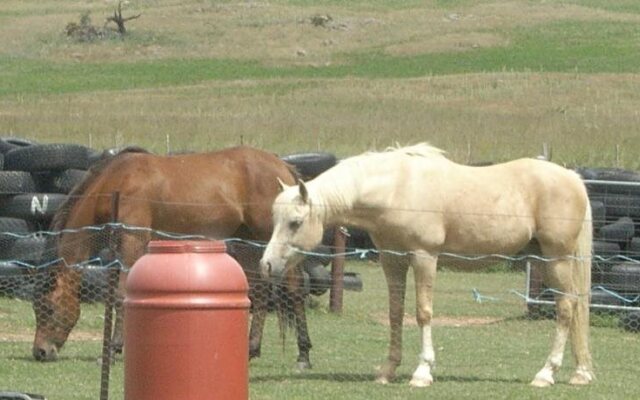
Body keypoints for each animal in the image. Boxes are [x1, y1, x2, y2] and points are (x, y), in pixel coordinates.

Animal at [32, 145, 316, 368]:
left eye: (47, 306)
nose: (40, 352)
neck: (118, 181)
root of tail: (282, 166)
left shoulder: (133, 241)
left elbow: (121, 295)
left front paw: (112, 351)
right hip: (248, 242)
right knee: (259, 290)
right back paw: (251, 349)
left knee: (293, 288)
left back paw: (303, 355)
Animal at [262, 143, 596, 388]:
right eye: (276, 219)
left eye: (295, 222)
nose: (266, 265)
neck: (397, 188)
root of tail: (573, 179)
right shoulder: (393, 259)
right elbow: (396, 313)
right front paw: (388, 370)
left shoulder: (425, 257)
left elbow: (423, 313)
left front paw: (422, 372)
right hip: (546, 259)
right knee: (574, 308)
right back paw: (580, 373)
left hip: (557, 260)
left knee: (566, 309)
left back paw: (546, 374)